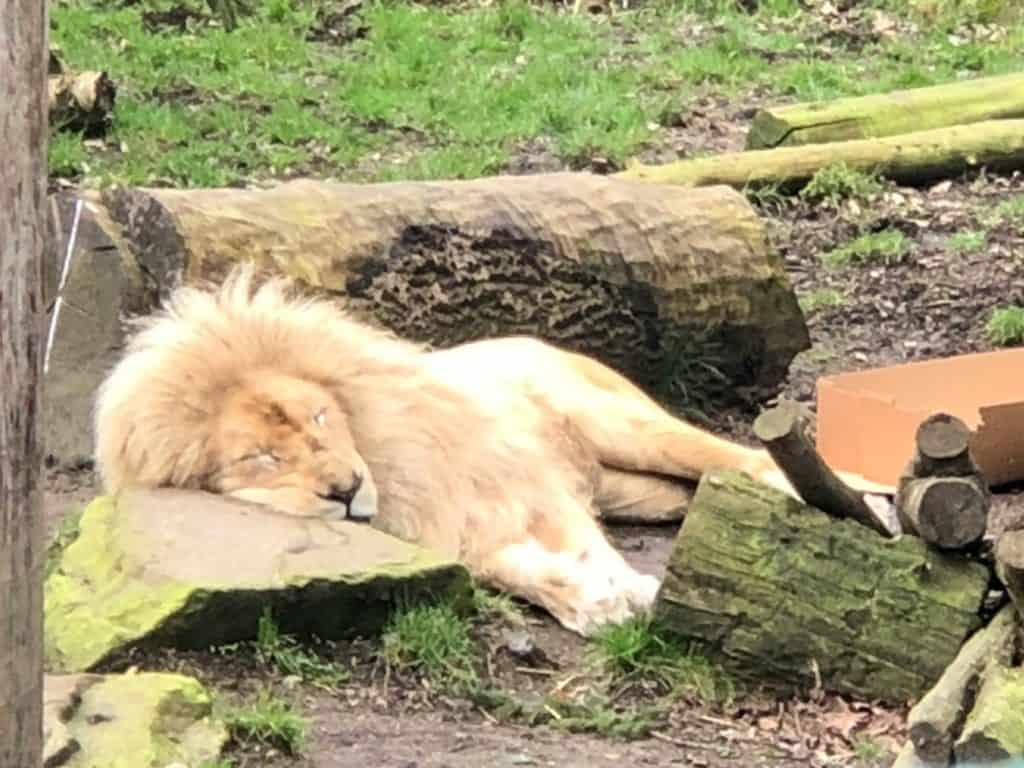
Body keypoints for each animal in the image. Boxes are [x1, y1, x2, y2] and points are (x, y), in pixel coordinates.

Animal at [94, 265, 883, 636]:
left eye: (320, 416)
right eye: (262, 459)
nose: (346, 490)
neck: (390, 465)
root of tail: (534, 337)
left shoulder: (526, 485)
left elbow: (583, 548)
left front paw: (628, 593)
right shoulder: (458, 536)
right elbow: (522, 572)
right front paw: (591, 603)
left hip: (623, 425)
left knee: (745, 459)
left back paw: (863, 499)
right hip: (634, 486)